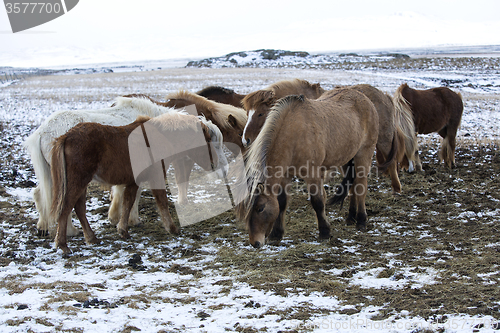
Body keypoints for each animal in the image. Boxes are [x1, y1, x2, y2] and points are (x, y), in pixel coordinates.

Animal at [23, 96, 227, 236]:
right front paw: (130, 219)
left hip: (53, 174)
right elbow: (133, 194)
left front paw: (118, 218)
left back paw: (46, 226)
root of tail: (42, 131)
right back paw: (70, 231)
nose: (224, 171)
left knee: (42, 194)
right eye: (213, 144)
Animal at [236, 87, 380, 246]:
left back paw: (361, 220)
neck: (293, 133)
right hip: (346, 158)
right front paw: (276, 234)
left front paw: (324, 232)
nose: (255, 243)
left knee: (361, 186)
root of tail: (365, 99)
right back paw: (351, 217)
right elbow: (281, 202)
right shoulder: (285, 175)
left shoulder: (313, 174)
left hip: (363, 154)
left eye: (260, 208)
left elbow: (318, 201)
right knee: (353, 185)